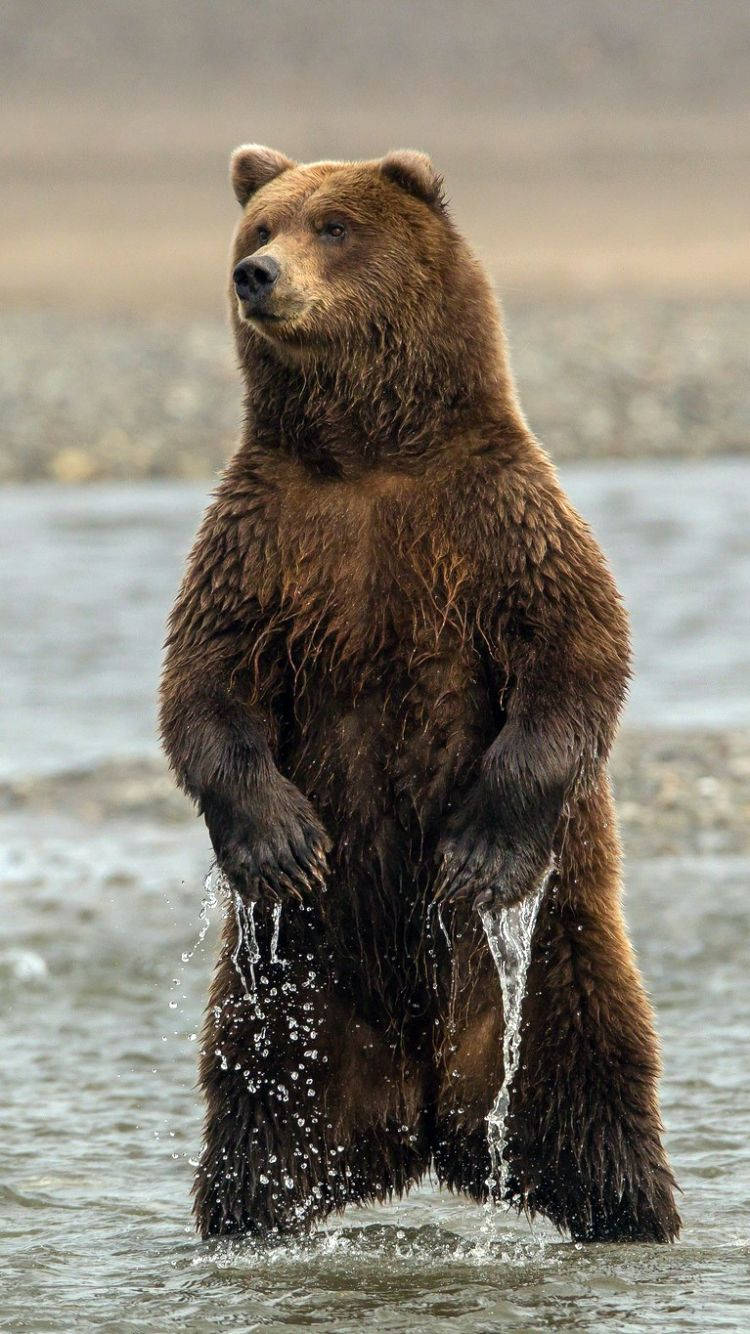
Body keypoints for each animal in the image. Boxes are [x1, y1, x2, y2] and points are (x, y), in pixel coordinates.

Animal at [160, 143, 680, 1237]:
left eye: (333, 226)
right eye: (260, 226)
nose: (256, 276)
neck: (366, 455)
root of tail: (427, 1118)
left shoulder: (498, 521)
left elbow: (577, 655)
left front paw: (477, 854)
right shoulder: (262, 541)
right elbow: (206, 684)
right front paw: (280, 842)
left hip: (559, 955)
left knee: (592, 1087)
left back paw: (630, 1213)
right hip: (292, 991)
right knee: (258, 1115)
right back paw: (249, 1221)